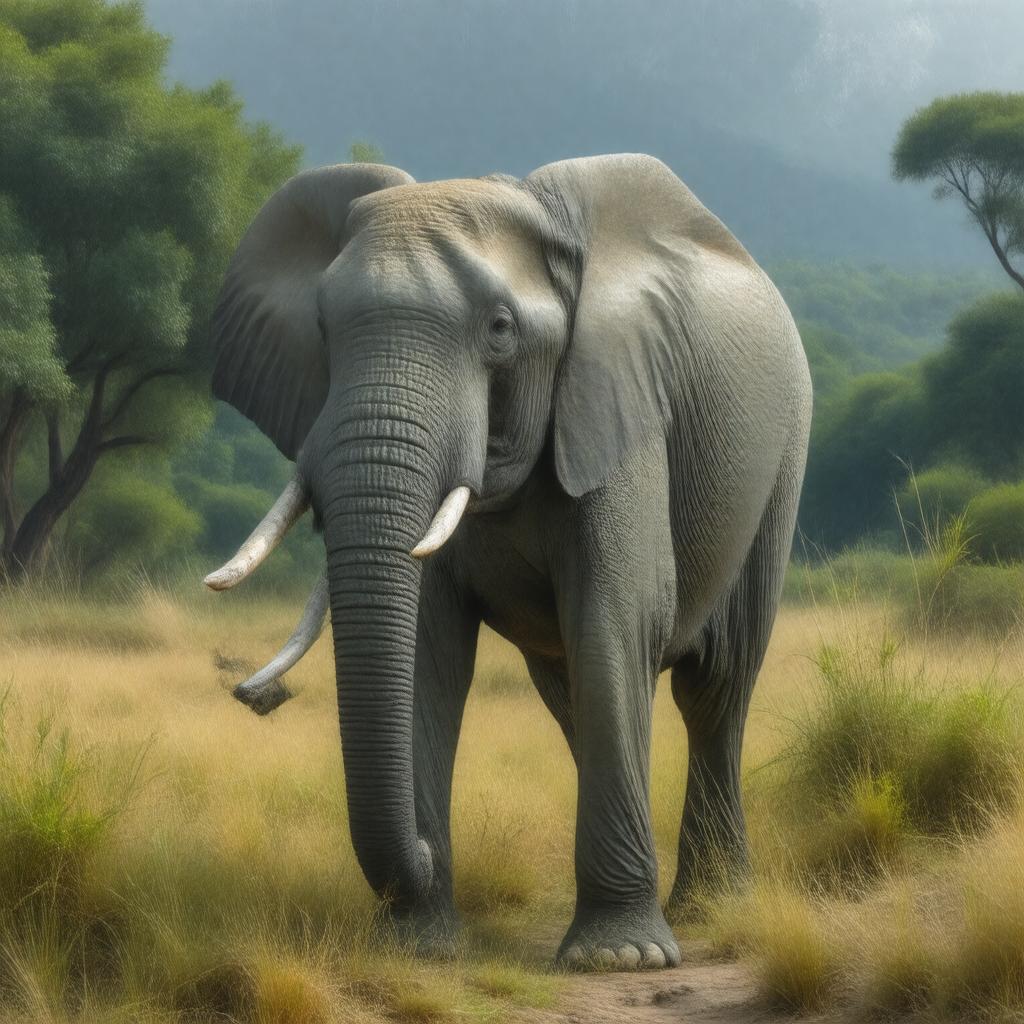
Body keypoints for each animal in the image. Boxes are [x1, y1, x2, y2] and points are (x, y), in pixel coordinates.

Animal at [204, 154, 812, 971]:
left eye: (499, 330)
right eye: (324, 331)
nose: (256, 696)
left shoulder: (616, 399)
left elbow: (619, 616)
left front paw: (618, 960)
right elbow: (428, 653)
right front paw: (420, 947)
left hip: (782, 456)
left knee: (715, 687)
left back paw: (710, 907)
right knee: (574, 696)